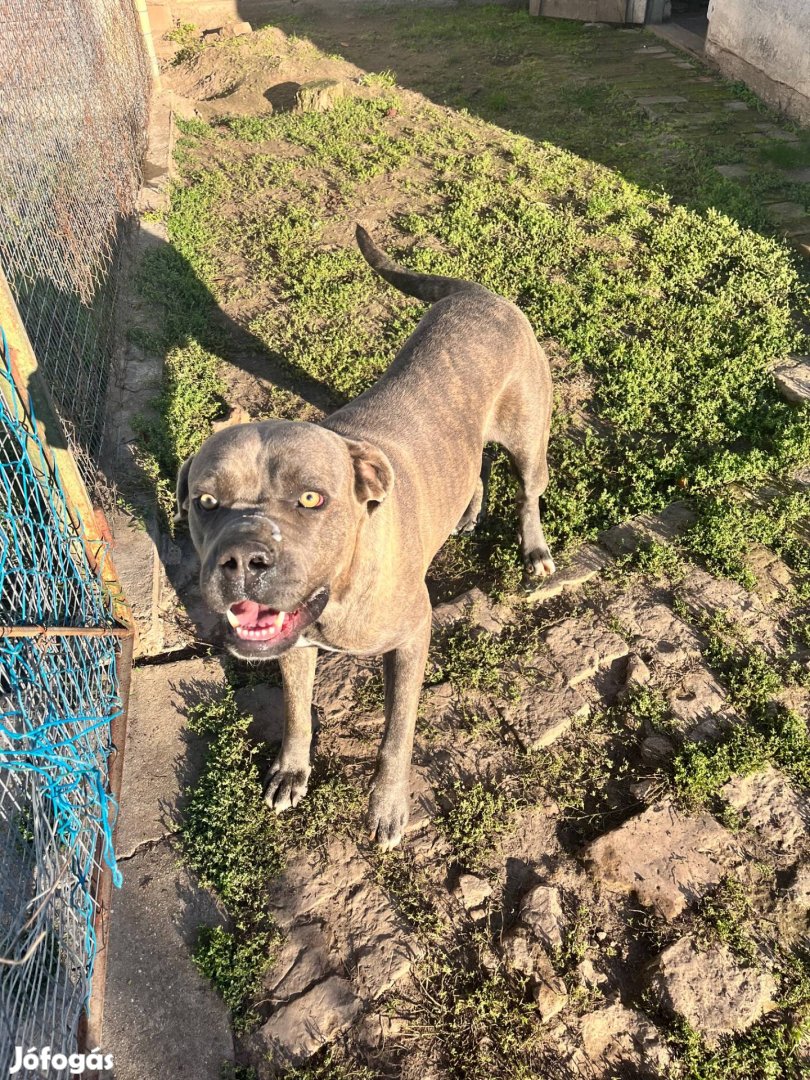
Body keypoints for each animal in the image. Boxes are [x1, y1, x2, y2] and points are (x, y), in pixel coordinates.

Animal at [176, 227, 557, 846]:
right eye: (205, 502)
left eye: (311, 499)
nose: (242, 558)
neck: (341, 586)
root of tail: (478, 293)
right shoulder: (293, 647)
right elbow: (297, 711)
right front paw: (292, 769)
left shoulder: (412, 639)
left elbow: (396, 734)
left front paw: (388, 805)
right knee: (473, 464)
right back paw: (467, 512)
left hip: (528, 440)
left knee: (527, 493)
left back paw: (535, 549)